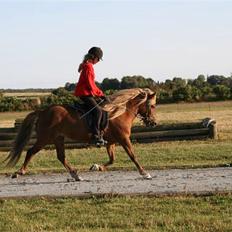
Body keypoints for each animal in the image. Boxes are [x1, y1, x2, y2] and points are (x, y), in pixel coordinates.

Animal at [5, 88, 157, 180]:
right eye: (153, 106)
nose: (154, 122)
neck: (119, 111)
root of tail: (42, 111)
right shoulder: (123, 139)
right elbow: (133, 156)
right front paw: (144, 173)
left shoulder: (111, 142)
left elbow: (112, 159)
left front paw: (97, 167)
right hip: (44, 138)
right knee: (31, 151)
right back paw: (19, 172)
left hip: (58, 138)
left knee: (61, 157)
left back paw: (75, 175)